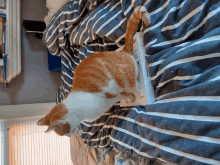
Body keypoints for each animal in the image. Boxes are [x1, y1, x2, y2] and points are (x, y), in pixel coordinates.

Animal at [37, 5, 150, 137]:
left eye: (65, 131)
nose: (69, 136)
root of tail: (122, 51)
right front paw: (128, 99)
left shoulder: (111, 93)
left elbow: (122, 94)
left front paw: (130, 98)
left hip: (124, 77)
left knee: (134, 85)